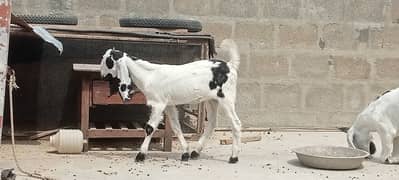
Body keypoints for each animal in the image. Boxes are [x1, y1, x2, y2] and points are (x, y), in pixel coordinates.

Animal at [100, 39, 244, 163]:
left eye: (107, 61)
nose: (101, 73)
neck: (149, 75)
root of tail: (230, 65)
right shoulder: (169, 105)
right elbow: (176, 127)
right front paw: (185, 153)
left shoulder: (158, 104)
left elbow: (150, 127)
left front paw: (140, 155)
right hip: (212, 100)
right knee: (212, 124)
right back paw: (195, 152)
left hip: (226, 98)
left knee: (236, 123)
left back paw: (234, 157)